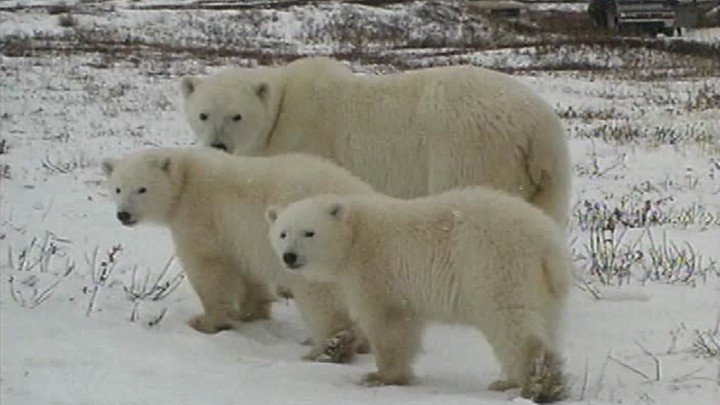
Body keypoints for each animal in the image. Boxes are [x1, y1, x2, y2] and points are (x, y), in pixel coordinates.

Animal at [102, 147, 374, 362]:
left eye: (142, 189)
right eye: (118, 188)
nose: (123, 215)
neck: (186, 179)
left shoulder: (202, 215)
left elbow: (208, 267)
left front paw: (207, 321)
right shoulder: (243, 240)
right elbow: (248, 272)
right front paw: (253, 313)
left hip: (318, 251)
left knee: (320, 298)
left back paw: (330, 348)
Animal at [180, 57, 571, 226]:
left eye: (236, 116)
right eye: (203, 114)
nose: (217, 146)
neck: (282, 106)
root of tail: (538, 128)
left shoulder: (307, 138)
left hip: (470, 150)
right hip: (545, 177)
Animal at [266, 188, 570, 402]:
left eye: (309, 232)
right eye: (282, 233)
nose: (289, 257)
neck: (355, 232)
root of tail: (546, 242)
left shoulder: (376, 268)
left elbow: (387, 323)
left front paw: (378, 376)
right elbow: (407, 323)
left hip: (495, 265)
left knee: (511, 323)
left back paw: (538, 384)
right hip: (543, 286)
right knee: (544, 323)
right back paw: (509, 381)